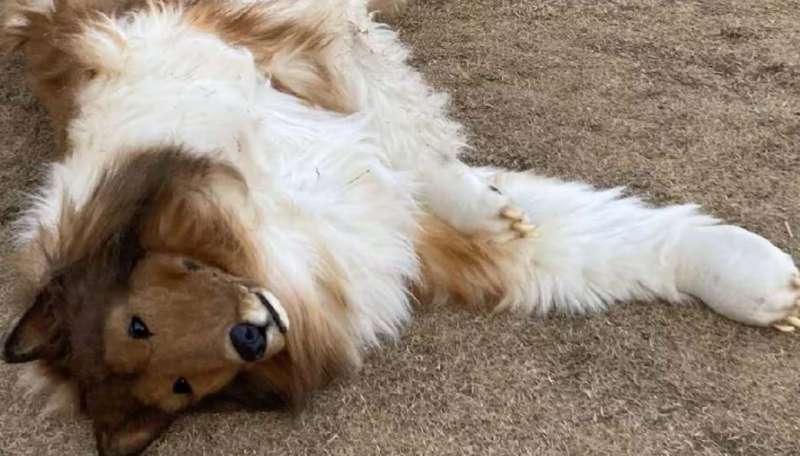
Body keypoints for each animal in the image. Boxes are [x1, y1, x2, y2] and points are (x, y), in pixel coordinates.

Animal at [1, 1, 798, 455]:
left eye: (137, 323)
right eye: (181, 387)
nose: (252, 338)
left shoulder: (239, 53)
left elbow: (411, 136)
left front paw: (479, 195)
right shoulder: (406, 238)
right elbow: (590, 242)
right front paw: (755, 283)